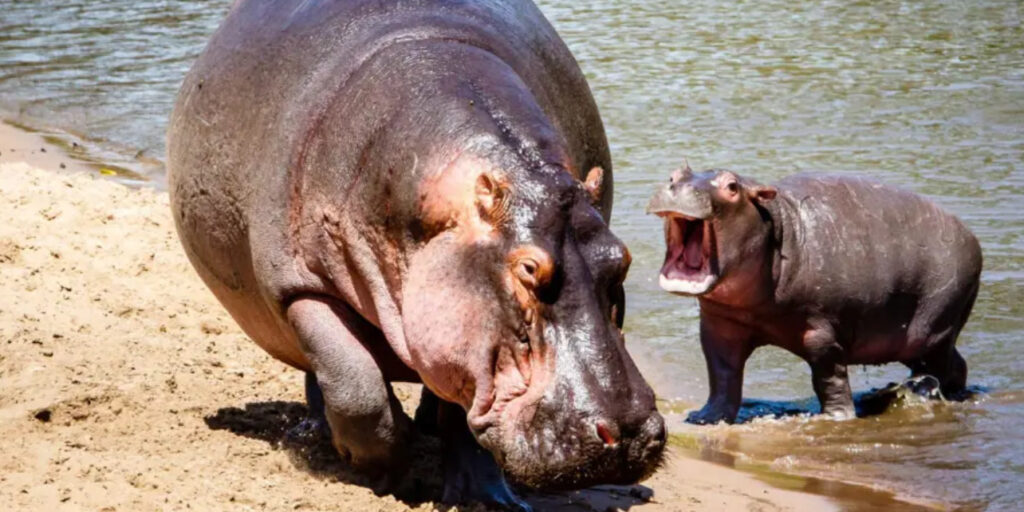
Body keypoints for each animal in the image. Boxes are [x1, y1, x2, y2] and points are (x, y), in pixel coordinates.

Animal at [166, 0, 665, 508]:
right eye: (528, 268)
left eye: (622, 258)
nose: (630, 434)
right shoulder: (298, 287)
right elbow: (357, 387)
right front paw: (389, 475)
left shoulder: (460, 336)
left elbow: (462, 411)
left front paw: (487, 497)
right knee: (325, 377)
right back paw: (321, 432)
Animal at [647, 164, 981, 424]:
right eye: (674, 174)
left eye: (732, 186)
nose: (678, 186)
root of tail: (972, 237)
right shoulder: (720, 327)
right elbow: (722, 375)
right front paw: (706, 417)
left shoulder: (820, 331)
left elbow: (829, 377)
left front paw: (836, 418)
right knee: (955, 364)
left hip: (936, 330)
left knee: (936, 370)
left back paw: (925, 396)